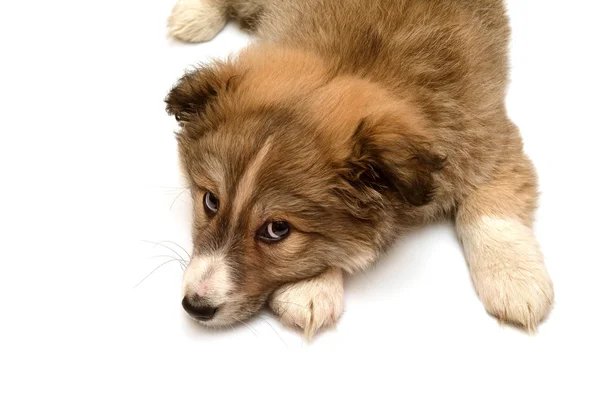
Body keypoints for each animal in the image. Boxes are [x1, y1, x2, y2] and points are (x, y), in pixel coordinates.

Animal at [164, 0, 552, 338]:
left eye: (277, 229)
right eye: (211, 201)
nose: (195, 307)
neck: (357, 63)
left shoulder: (493, 146)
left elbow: (491, 211)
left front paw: (515, 280)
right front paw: (311, 288)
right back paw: (193, 15)